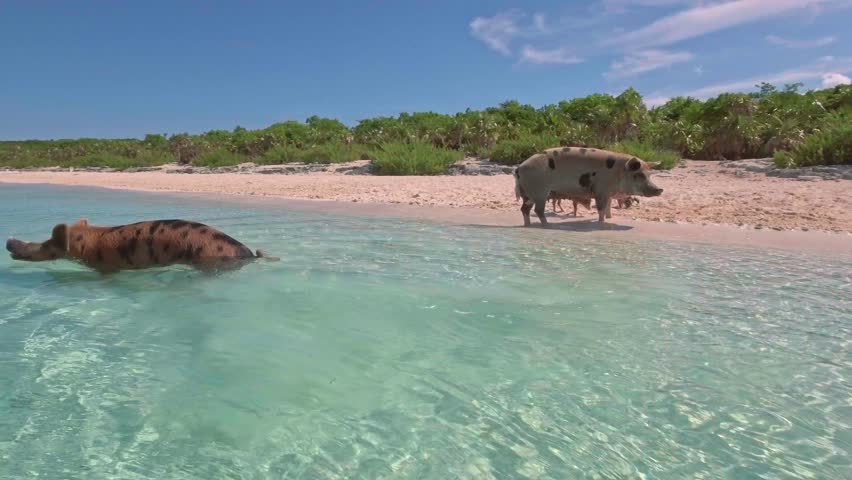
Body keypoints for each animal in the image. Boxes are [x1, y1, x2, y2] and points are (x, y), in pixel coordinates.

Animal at [514, 146, 663, 226]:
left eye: (649, 174)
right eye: (639, 174)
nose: (659, 189)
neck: (619, 173)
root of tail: (519, 167)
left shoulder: (608, 193)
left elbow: (608, 207)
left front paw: (610, 218)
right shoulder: (601, 191)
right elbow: (601, 208)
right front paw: (602, 223)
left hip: (529, 193)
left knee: (524, 209)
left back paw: (528, 225)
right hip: (539, 191)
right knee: (538, 210)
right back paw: (546, 225)